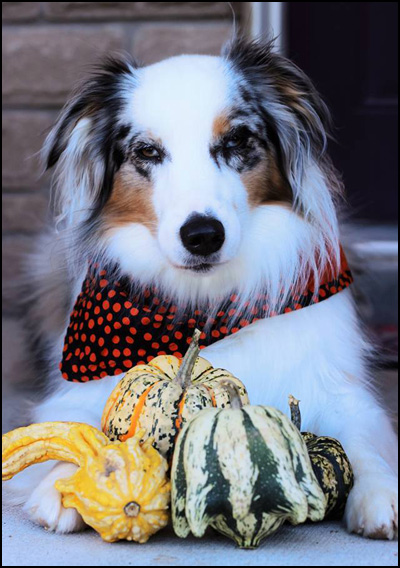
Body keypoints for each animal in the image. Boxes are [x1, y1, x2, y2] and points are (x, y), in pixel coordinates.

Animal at [7, 40, 398, 540]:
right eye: (147, 151)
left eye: (236, 141)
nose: (202, 235)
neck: (207, 302)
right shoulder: (83, 388)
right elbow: (73, 425)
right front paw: (64, 487)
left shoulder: (338, 387)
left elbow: (364, 440)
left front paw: (380, 492)